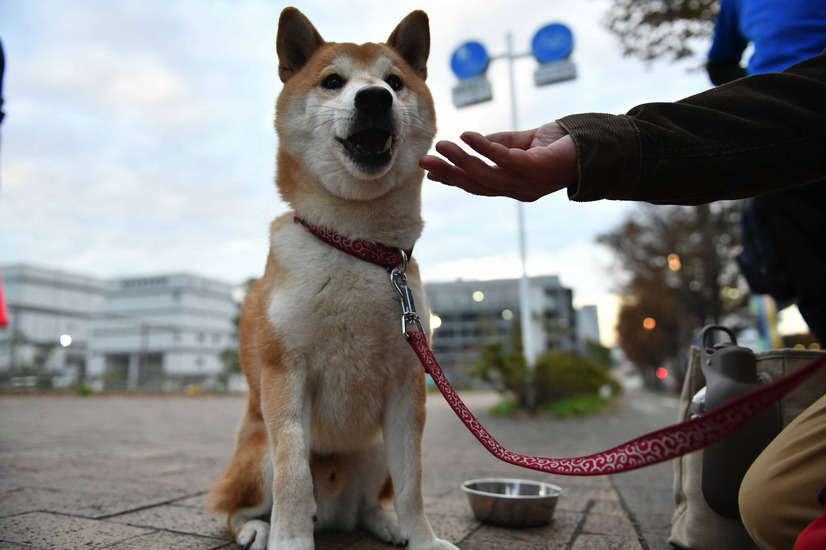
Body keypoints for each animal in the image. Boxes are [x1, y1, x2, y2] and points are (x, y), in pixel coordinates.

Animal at [204, 7, 454, 550]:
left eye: (395, 82)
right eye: (333, 81)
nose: (374, 97)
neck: (356, 244)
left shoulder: (408, 385)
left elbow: (413, 482)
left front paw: (422, 537)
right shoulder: (285, 373)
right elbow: (295, 477)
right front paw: (291, 540)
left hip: (375, 448)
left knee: (368, 505)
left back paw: (385, 523)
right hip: (257, 452)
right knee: (233, 507)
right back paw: (257, 528)